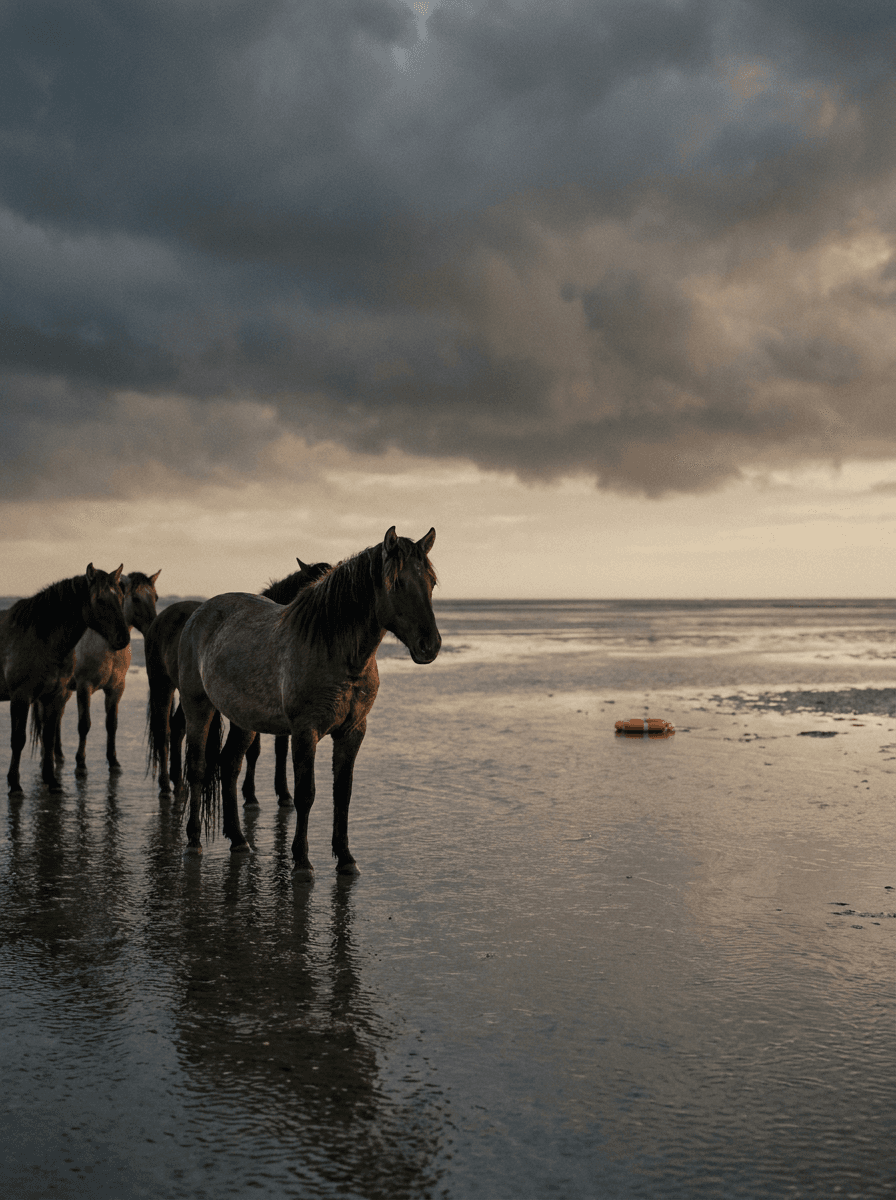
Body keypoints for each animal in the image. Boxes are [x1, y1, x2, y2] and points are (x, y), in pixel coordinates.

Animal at [0, 565, 130, 795]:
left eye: (122, 596)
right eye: (100, 600)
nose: (123, 638)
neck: (40, 638)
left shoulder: (54, 695)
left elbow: (49, 737)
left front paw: (51, 780)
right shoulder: (21, 697)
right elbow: (18, 740)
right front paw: (14, 784)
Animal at [64, 570, 161, 773]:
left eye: (155, 597)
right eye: (136, 598)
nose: (154, 628)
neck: (106, 642)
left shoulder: (116, 688)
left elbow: (112, 724)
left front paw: (114, 761)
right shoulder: (84, 687)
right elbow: (84, 724)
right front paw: (80, 763)